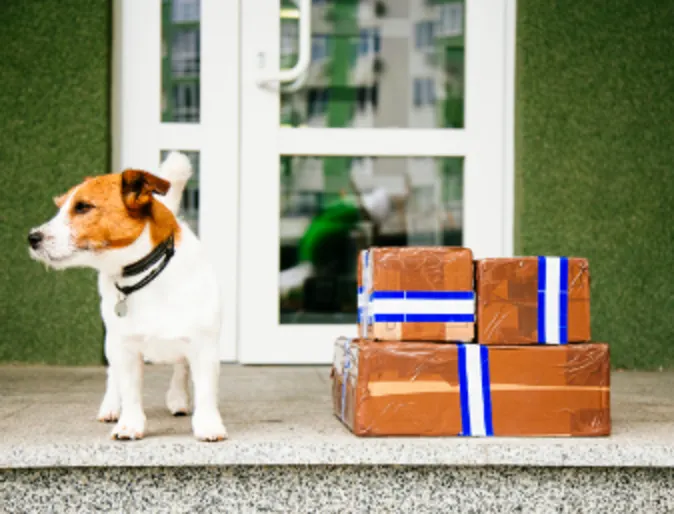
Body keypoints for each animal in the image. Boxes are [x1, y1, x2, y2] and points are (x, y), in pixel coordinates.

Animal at [27, 151, 227, 440]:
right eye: (60, 206)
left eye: (83, 207)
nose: (32, 238)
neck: (147, 273)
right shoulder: (127, 348)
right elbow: (130, 391)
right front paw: (129, 424)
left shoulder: (204, 345)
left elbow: (205, 391)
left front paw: (208, 424)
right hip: (111, 341)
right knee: (114, 376)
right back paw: (111, 406)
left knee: (180, 366)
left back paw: (178, 397)